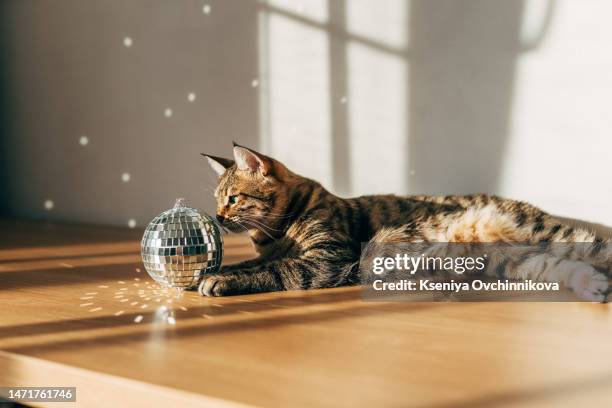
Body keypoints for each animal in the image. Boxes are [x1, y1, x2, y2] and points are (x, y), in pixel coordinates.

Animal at [200, 143, 608, 300]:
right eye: (217, 199)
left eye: (233, 198)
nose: (218, 217)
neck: (277, 233)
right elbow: (250, 262)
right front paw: (216, 270)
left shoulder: (327, 259)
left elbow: (274, 270)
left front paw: (221, 280)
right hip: (517, 261)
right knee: (558, 267)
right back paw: (590, 285)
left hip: (546, 234)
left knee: (597, 248)